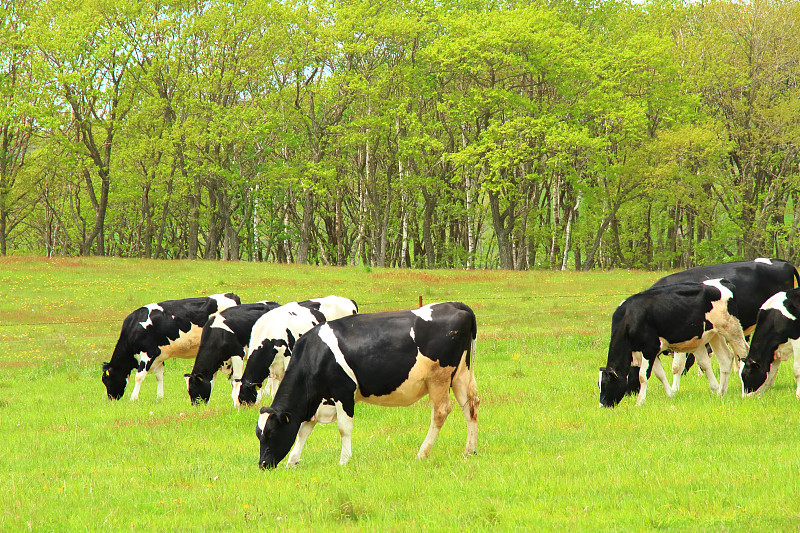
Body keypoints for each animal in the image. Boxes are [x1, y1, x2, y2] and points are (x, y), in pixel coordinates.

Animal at [100, 294, 239, 402]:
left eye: (106, 380)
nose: (111, 398)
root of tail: (231, 295)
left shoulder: (149, 353)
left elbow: (139, 376)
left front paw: (133, 398)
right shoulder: (159, 356)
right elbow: (159, 376)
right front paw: (159, 397)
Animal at [256, 302, 478, 468]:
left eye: (271, 432)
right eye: (259, 434)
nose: (263, 465)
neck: (314, 355)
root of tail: (454, 305)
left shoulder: (343, 392)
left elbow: (344, 428)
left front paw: (344, 460)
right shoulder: (317, 402)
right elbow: (303, 430)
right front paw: (292, 461)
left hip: (439, 377)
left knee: (441, 411)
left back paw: (422, 453)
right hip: (461, 374)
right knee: (471, 406)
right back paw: (469, 450)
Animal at [600, 278, 752, 408]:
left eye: (606, 384)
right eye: (599, 386)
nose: (602, 406)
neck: (630, 317)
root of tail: (723, 281)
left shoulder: (650, 348)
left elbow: (643, 376)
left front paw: (640, 402)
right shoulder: (650, 351)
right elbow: (660, 374)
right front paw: (671, 394)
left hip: (732, 329)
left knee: (744, 353)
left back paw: (746, 392)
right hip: (715, 334)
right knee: (726, 359)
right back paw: (720, 392)